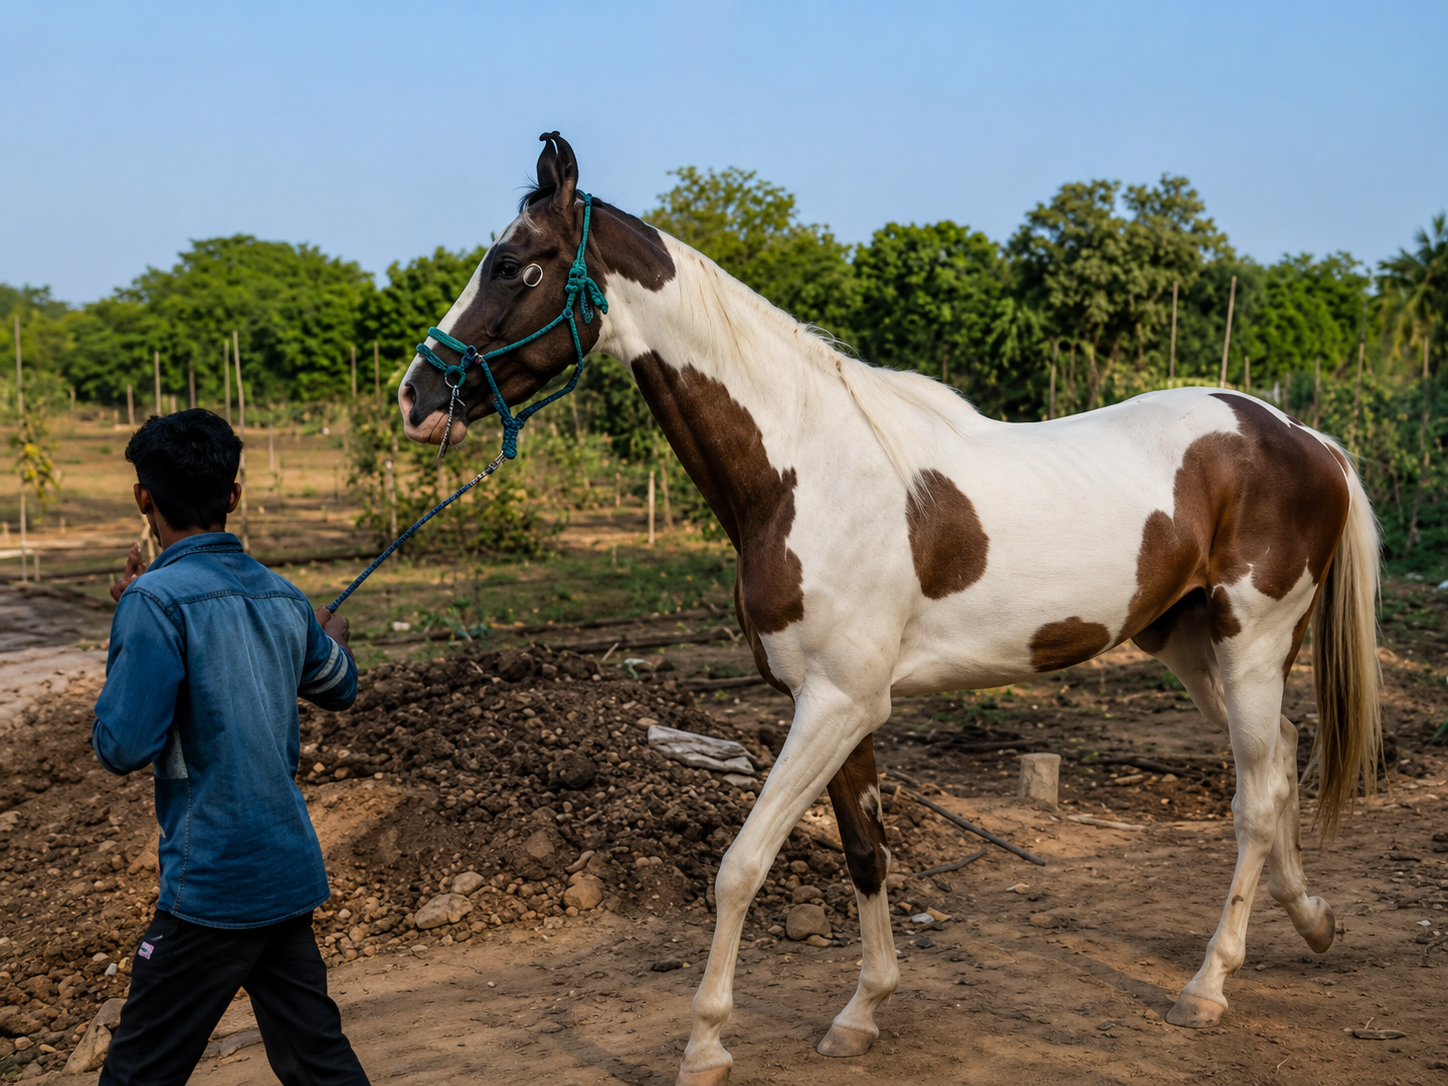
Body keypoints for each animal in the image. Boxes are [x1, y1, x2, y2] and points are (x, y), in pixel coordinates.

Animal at [397, 132, 1381, 1086]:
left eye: (513, 264)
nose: (417, 395)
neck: (803, 471)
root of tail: (1305, 437)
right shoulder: (840, 707)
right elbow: (866, 854)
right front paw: (861, 1014)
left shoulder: (834, 704)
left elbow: (741, 865)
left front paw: (707, 1043)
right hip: (1188, 646)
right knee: (1280, 764)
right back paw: (1313, 919)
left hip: (1251, 646)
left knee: (1253, 799)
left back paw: (1208, 986)